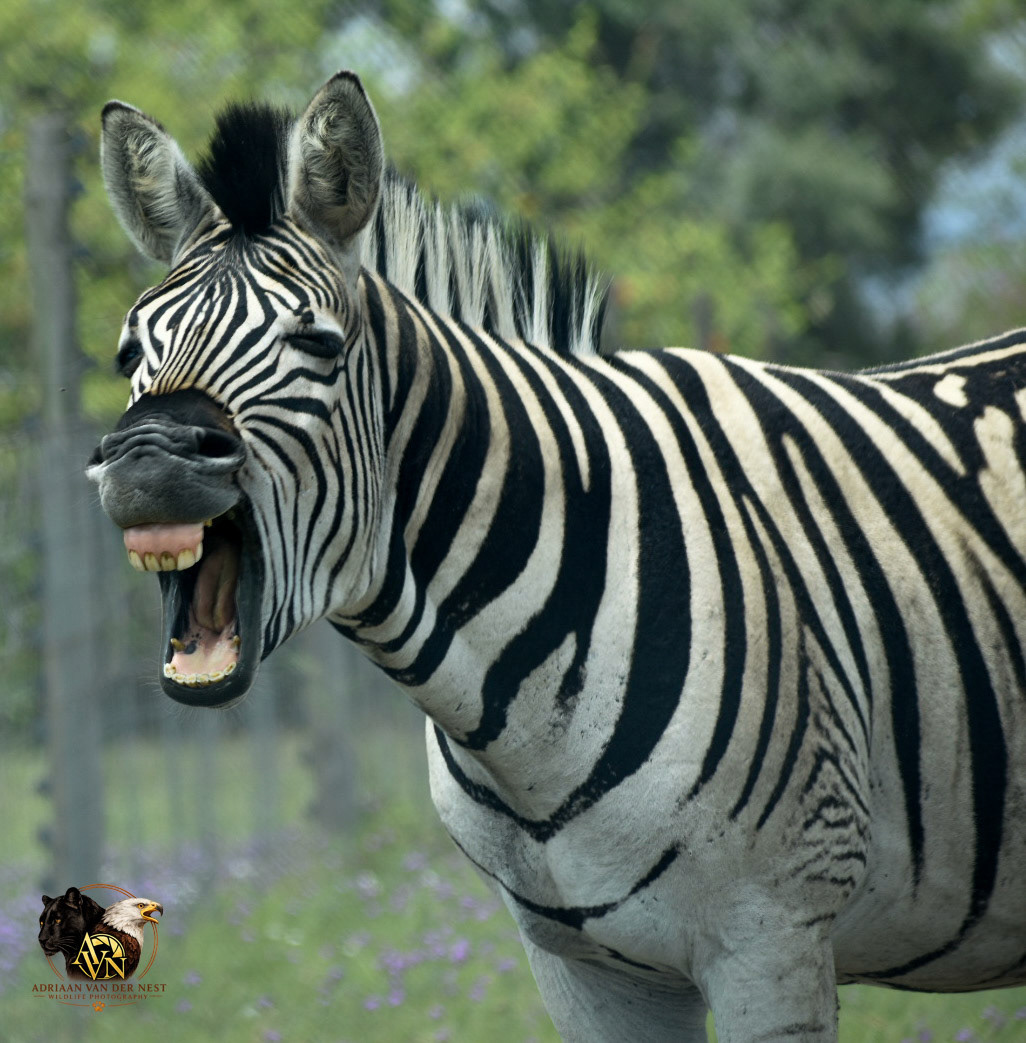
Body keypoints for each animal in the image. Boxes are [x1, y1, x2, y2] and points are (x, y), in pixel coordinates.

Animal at [87, 72, 1026, 1041]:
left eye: (315, 344)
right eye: (130, 352)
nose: (147, 457)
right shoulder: (585, 968)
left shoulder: (773, 937)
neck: (516, 726)